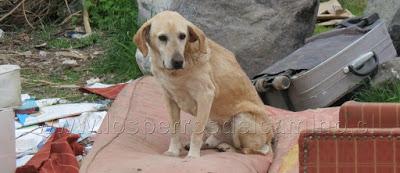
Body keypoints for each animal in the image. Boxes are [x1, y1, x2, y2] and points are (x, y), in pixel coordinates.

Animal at [134, 10, 276, 158]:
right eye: (162, 38)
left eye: (182, 36)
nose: (178, 62)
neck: (176, 74)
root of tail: (270, 138)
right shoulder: (169, 98)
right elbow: (174, 130)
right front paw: (174, 151)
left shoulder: (205, 96)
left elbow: (196, 133)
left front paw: (193, 156)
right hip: (211, 120)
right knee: (215, 140)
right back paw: (210, 144)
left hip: (241, 119)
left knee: (247, 150)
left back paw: (227, 148)